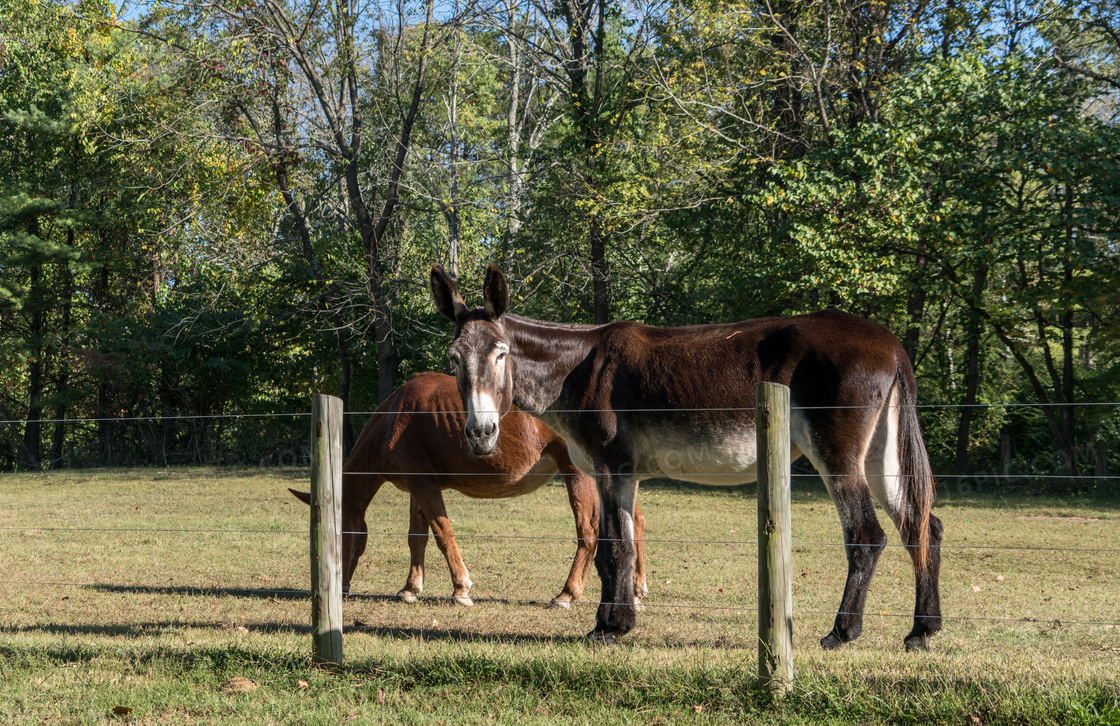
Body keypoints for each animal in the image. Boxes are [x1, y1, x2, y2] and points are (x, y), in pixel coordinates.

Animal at [293, 374, 654, 605]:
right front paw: (410, 588)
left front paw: (460, 589)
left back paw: (567, 594)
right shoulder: (417, 486)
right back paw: (635, 591)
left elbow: (443, 534)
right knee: (635, 521)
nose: (339, 587)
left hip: (579, 474)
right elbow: (417, 537)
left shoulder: (424, 485)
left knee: (589, 532)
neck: (395, 415)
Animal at [432, 266, 940, 654]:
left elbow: (615, 547)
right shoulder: (618, 472)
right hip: (879, 454)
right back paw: (922, 631)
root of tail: (891, 342)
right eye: (453, 359)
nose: (480, 435)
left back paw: (841, 632)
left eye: (500, 355)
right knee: (922, 527)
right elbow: (618, 545)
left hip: (837, 454)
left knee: (868, 536)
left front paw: (611, 629)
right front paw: (611, 622)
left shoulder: (612, 466)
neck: (576, 370)